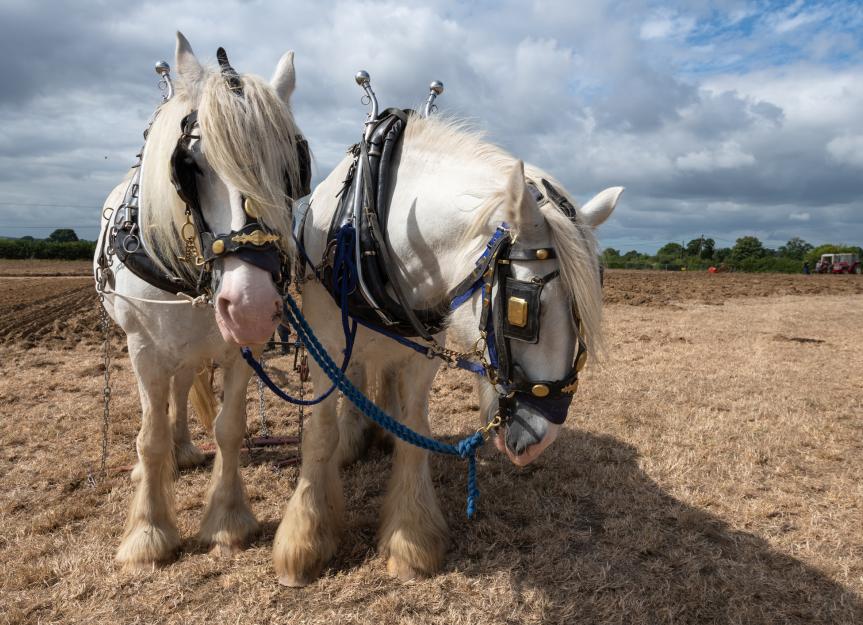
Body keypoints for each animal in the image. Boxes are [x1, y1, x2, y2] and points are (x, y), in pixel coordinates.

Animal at [94, 32, 306, 569]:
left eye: (292, 167)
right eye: (189, 166)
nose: (250, 306)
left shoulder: (240, 351)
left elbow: (229, 428)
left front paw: (227, 521)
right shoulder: (144, 349)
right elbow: (148, 437)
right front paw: (148, 534)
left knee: (183, 384)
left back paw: (185, 449)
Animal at [275, 114, 621, 585]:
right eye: (522, 309)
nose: (541, 439)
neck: (371, 227)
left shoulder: (422, 352)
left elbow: (414, 431)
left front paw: (410, 541)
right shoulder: (322, 340)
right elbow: (321, 434)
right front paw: (305, 542)